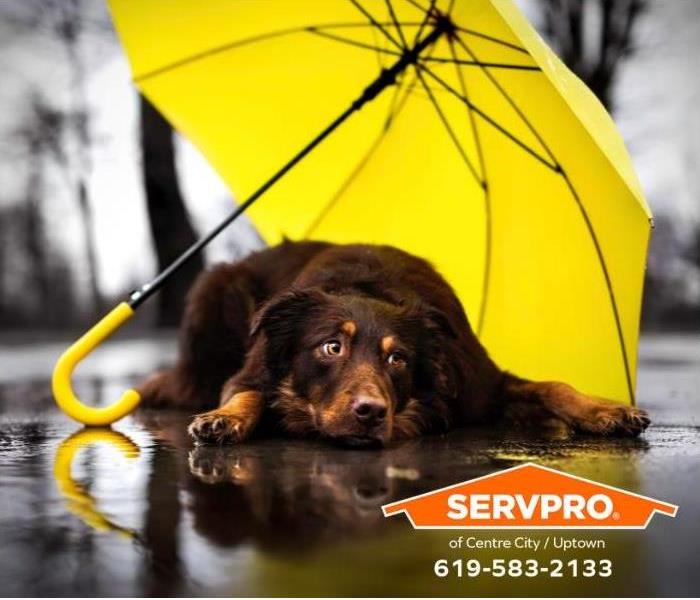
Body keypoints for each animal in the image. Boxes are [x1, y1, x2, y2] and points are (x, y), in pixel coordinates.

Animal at [139, 240, 648, 446]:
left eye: (398, 358)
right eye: (331, 348)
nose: (370, 413)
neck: (369, 287)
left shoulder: (482, 384)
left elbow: (551, 386)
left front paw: (605, 410)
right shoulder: (253, 367)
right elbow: (247, 392)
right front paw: (224, 419)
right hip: (213, 290)